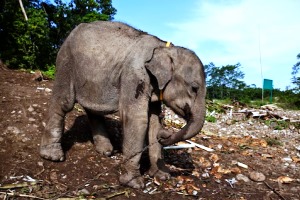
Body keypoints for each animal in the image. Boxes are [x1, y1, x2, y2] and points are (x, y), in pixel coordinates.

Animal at [39, 21, 206, 188]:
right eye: (194, 88)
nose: (165, 135)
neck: (163, 46)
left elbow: (154, 122)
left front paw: (162, 175)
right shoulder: (134, 75)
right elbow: (137, 120)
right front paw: (134, 183)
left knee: (93, 109)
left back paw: (106, 151)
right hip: (66, 62)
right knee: (64, 102)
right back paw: (52, 156)